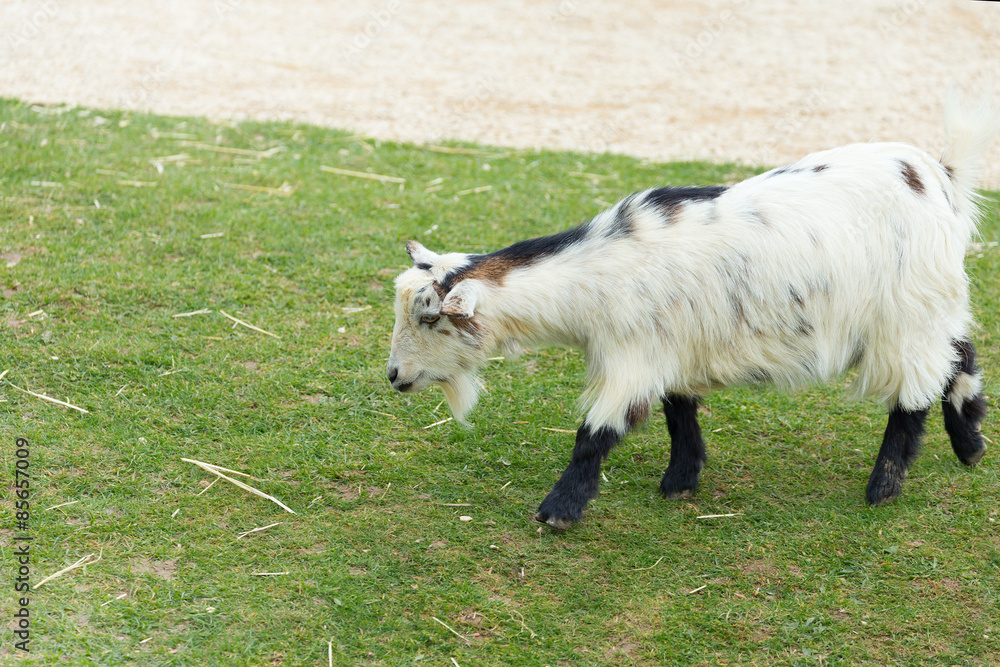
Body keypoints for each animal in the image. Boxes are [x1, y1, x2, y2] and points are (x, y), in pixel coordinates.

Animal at [387, 95, 997, 529]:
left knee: (915, 392)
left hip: (907, 314)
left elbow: (596, 432)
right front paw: (681, 480)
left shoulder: (633, 356)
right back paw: (969, 443)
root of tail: (941, 175)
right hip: (934, 304)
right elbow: (679, 411)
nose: (394, 377)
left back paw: (885, 485)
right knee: (960, 353)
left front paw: (559, 509)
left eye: (429, 317)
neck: (594, 277)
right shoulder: (672, 346)